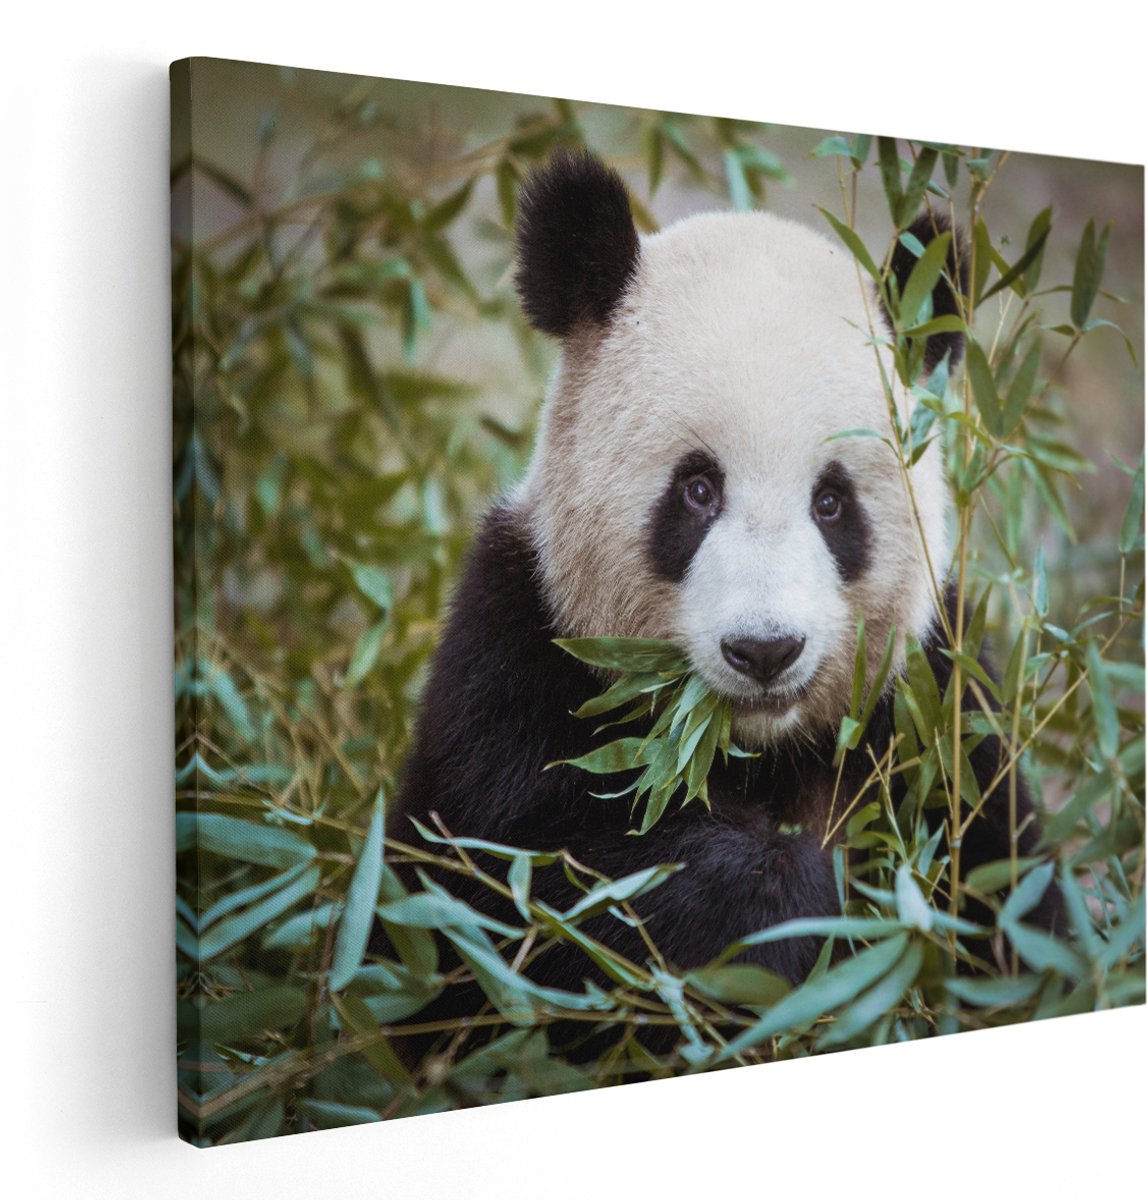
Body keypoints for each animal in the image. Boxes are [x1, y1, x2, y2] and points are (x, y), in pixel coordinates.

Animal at [388, 148, 1059, 1002]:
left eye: (832, 502)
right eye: (698, 489)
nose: (765, 649)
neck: (752, 748)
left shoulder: (938, 706)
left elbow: (1010, 904)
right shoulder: (515, 652)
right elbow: (536, 881)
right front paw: (787, 898)